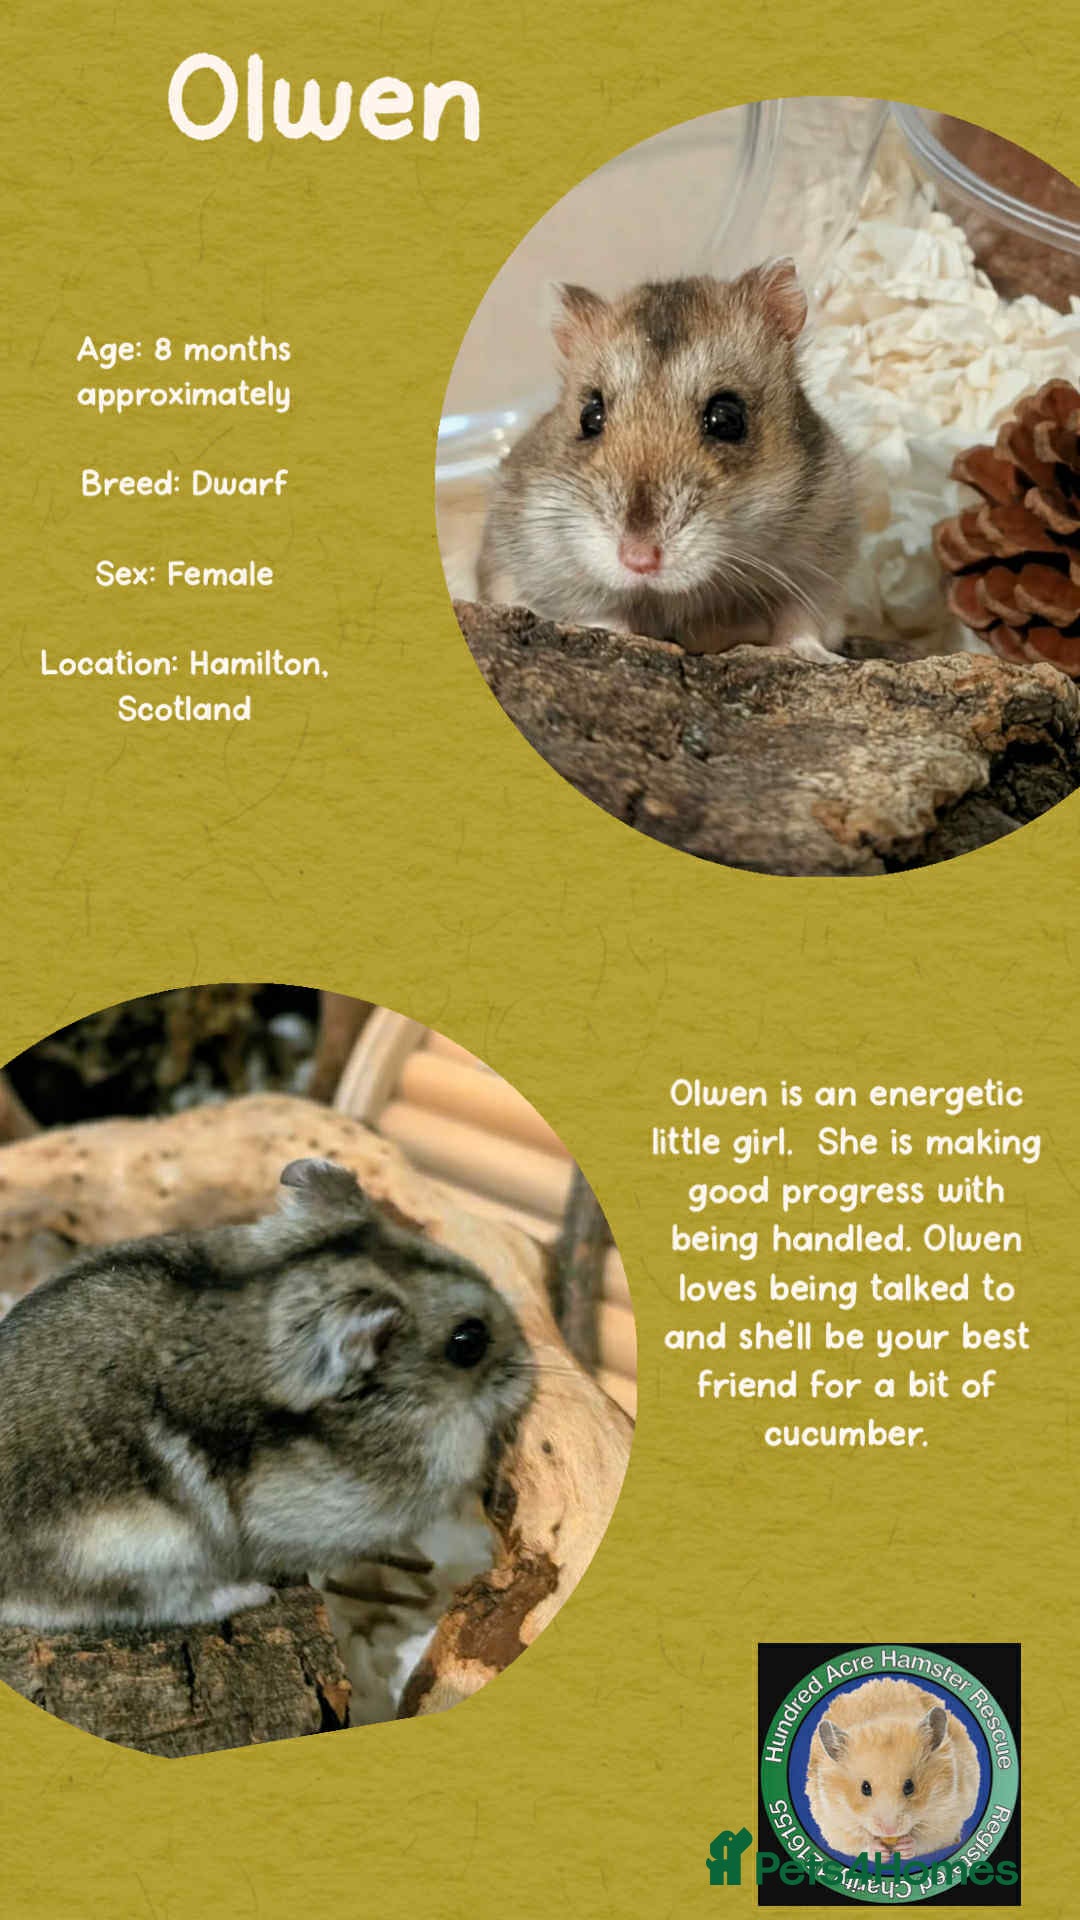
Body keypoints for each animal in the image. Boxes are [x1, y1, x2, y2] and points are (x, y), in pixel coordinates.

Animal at [476, 262, 858, 660]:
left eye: (726, 418)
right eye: (589, 416)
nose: (639, 560)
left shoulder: (821, 557)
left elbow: (800, 620)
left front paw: (817, 656)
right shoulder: (545, 563)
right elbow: (601, 613)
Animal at [806, 1678, 981, 1861]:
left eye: (910, 1786)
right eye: (865, 1788)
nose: (889, 1830)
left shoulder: (948, 1813)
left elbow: (927, 1838)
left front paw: (905, 1847)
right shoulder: (834, 1821)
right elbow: (856, 1841)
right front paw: (879, 1852)